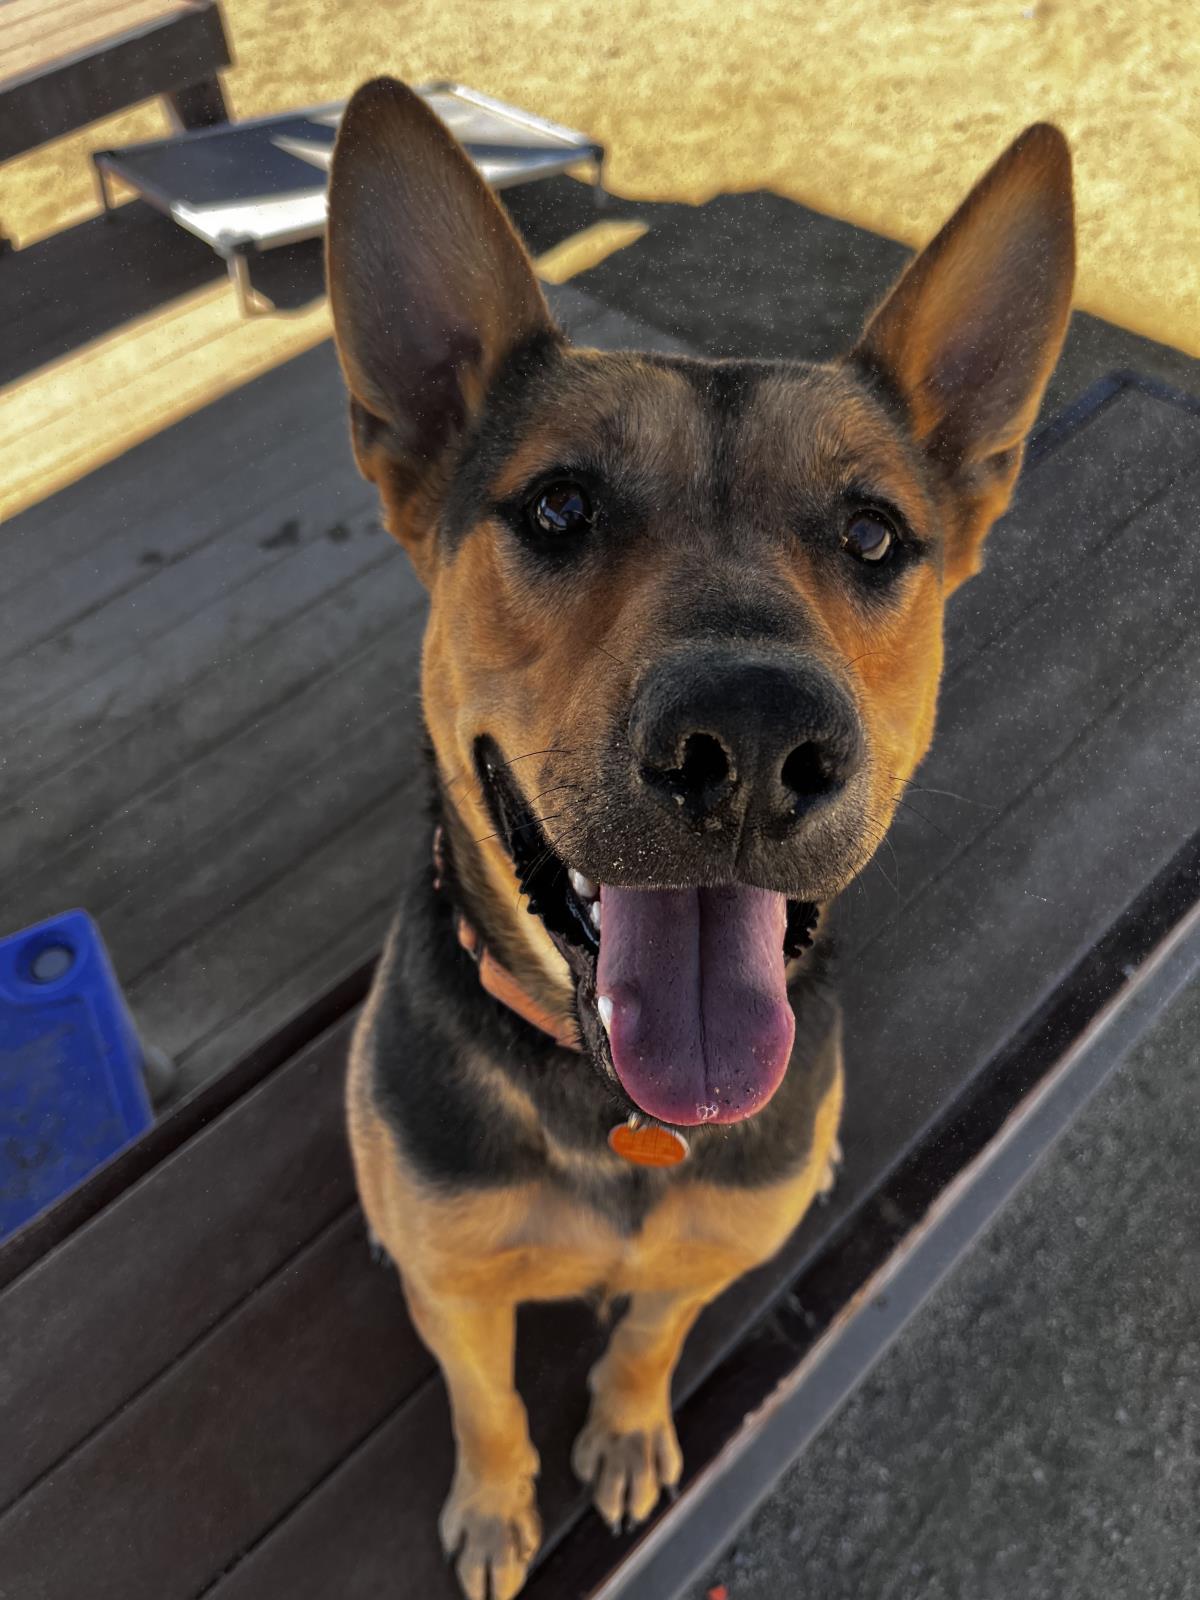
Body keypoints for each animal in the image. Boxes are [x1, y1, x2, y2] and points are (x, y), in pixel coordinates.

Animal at [326, 84, 1068, 1600]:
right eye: (558, 506)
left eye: (873, 533)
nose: (752, 745)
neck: (624, 1112)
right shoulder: (461, 1286)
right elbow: (483, 1396)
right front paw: (497, 1506)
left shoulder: (698, 1251)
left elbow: (652, 1330)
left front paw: (624, 1424)